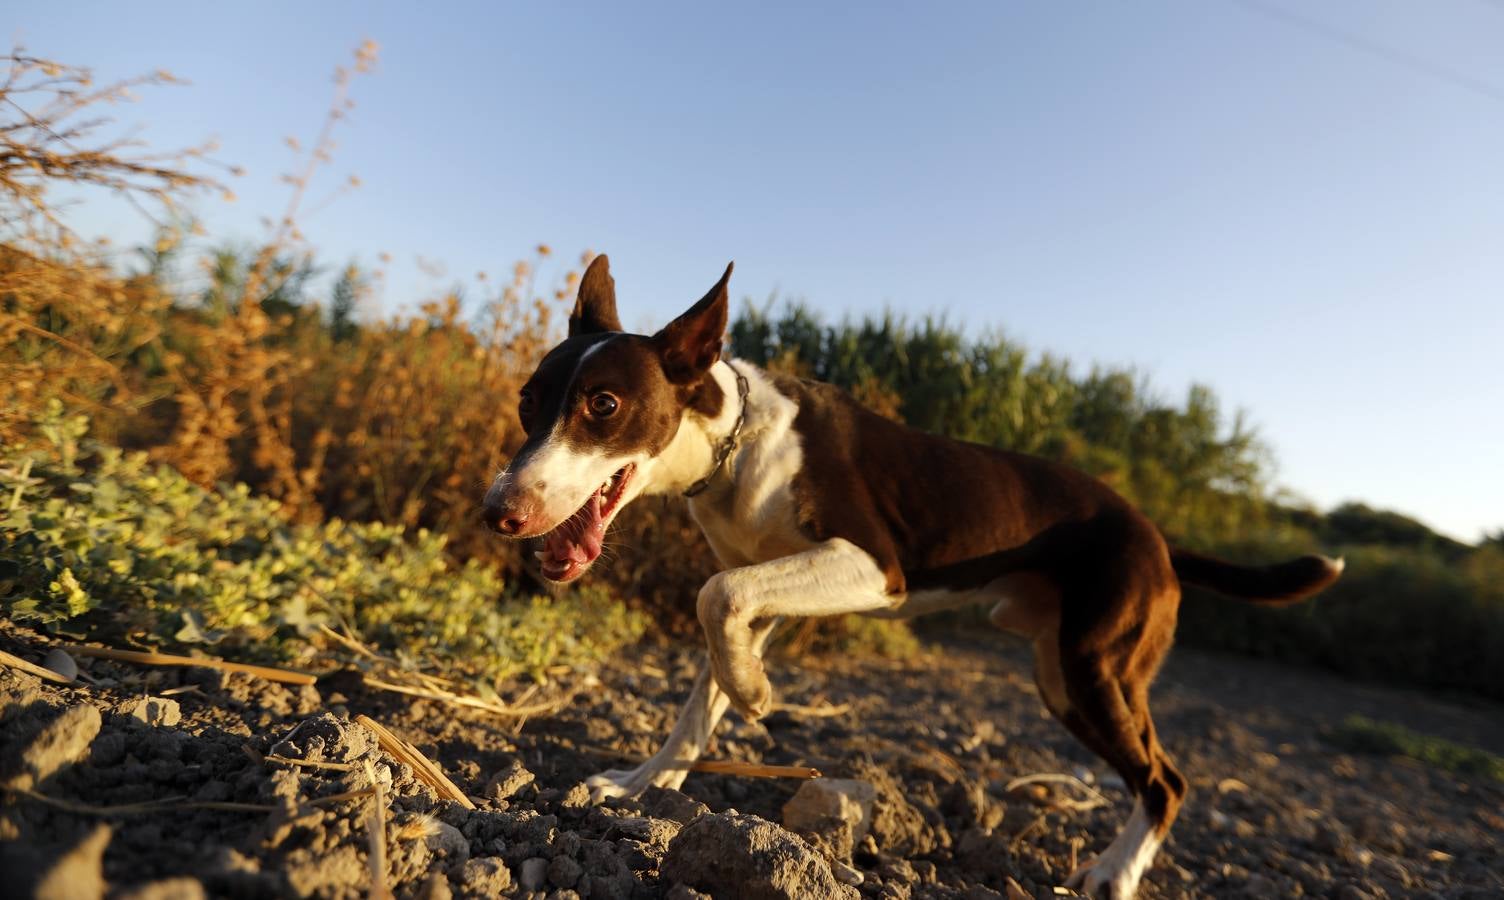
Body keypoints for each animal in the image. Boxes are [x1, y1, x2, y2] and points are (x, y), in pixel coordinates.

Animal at [481, 255, 1341, 900]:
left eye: (603, 403)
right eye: (528, 401)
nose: (499, 511)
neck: (732, 440)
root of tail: (1158, 537)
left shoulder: (871, 568)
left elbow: (712, 599)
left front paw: (756, 695)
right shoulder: (767, 589)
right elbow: (704, 688)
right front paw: (642, 783)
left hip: (1095, 666)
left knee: (1165, 780)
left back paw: (1115, 871)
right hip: (1063, 673)